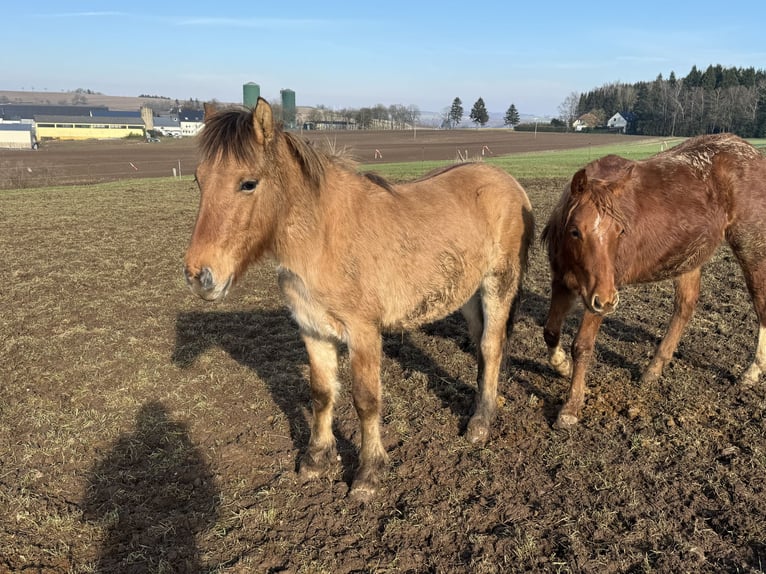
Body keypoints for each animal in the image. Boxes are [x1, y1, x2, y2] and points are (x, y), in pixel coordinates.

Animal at [184, 99, 536, 500]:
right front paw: (316, 459)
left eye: (248, 183)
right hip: (468, 293)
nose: (199, 276)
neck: (322, 238)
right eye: (199, 179)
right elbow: (321, 393)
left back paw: (480, 423)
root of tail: (511, 184)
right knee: (483, 345)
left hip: (499, 285)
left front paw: (369, 473)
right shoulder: (312, 329)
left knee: (491, 346)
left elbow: (366, 401)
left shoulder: (364, 333)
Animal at [544, 135, 766, 430]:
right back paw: (653, 369)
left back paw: (752, 372)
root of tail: (752, 153)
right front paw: (561, 366)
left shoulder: (599, 295)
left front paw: (570, 409)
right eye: (575, 231)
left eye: (620, 231)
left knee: (760, 304)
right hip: (688, 258)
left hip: (751, 247)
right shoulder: (563, 282)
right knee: (685, 307)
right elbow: (550, 331)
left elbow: (582, 346)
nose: (608, 300)